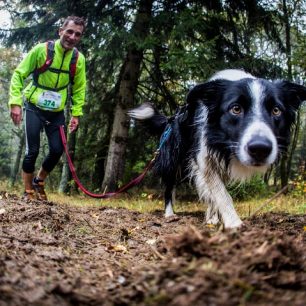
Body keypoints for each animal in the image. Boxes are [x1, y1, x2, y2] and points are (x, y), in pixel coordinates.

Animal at [128, 69, 304, 227]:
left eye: (276, 110)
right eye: (236, 109)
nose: (260, 149)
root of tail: (172, 118)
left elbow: (214, 193)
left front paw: (213, 218)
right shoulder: (204, 158)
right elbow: (221, 194)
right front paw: (234, 223)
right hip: (173, 159)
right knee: (169, 187)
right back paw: (170, 214)